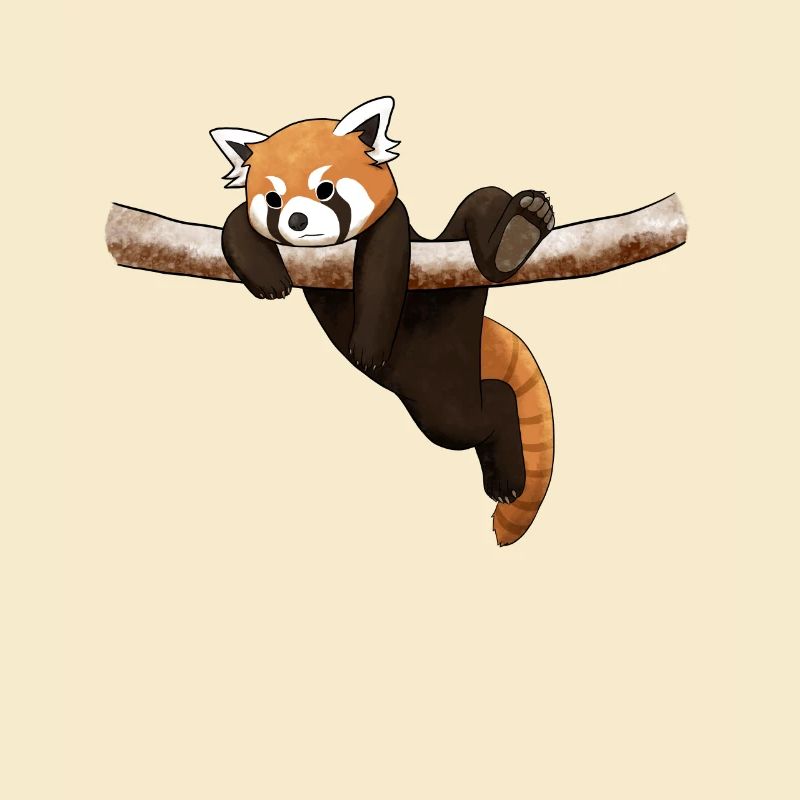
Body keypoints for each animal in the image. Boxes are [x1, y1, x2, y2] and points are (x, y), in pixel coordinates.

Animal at [211, 96, 556, 546]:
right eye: (273, 199)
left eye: (325, 190)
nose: (297, 221)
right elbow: (236, 222)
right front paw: (267, 277)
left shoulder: (392, 228)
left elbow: (383, 262)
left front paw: (368, 346)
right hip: (435, 379)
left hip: (453, 316)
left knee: (484, 201)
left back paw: (516, 235)